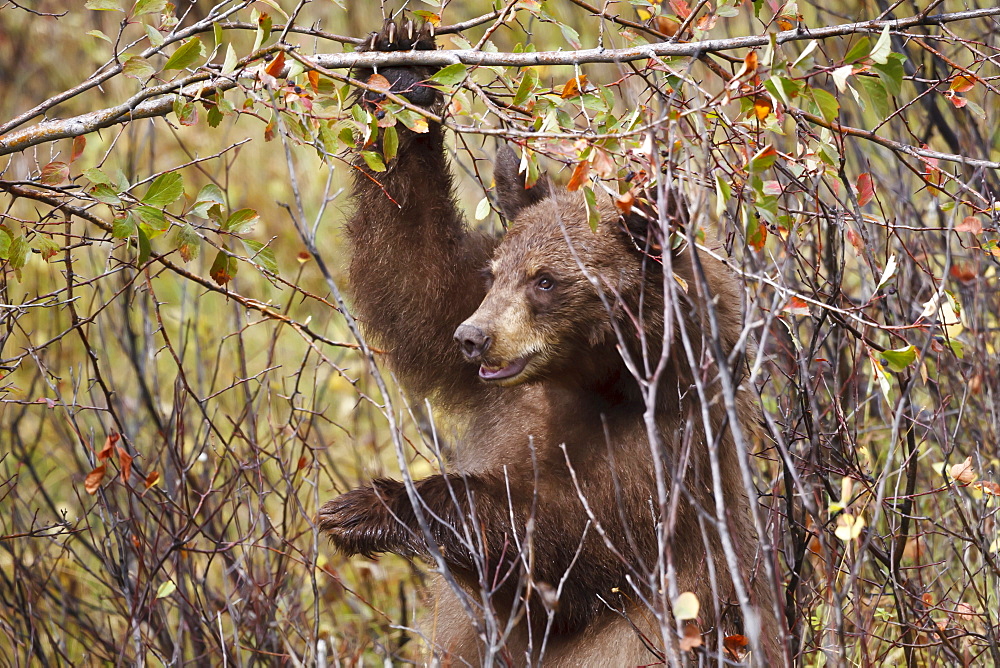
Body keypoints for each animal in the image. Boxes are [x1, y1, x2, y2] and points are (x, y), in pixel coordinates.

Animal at [318, 18, 780, 664]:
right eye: (497, 274)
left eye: (546, 280)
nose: (474, 338)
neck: (588, 382)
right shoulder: (504, 387)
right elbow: (416, 276)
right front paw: (402, 71)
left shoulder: (662, 457)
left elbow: (572, 550)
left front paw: (373, 506)